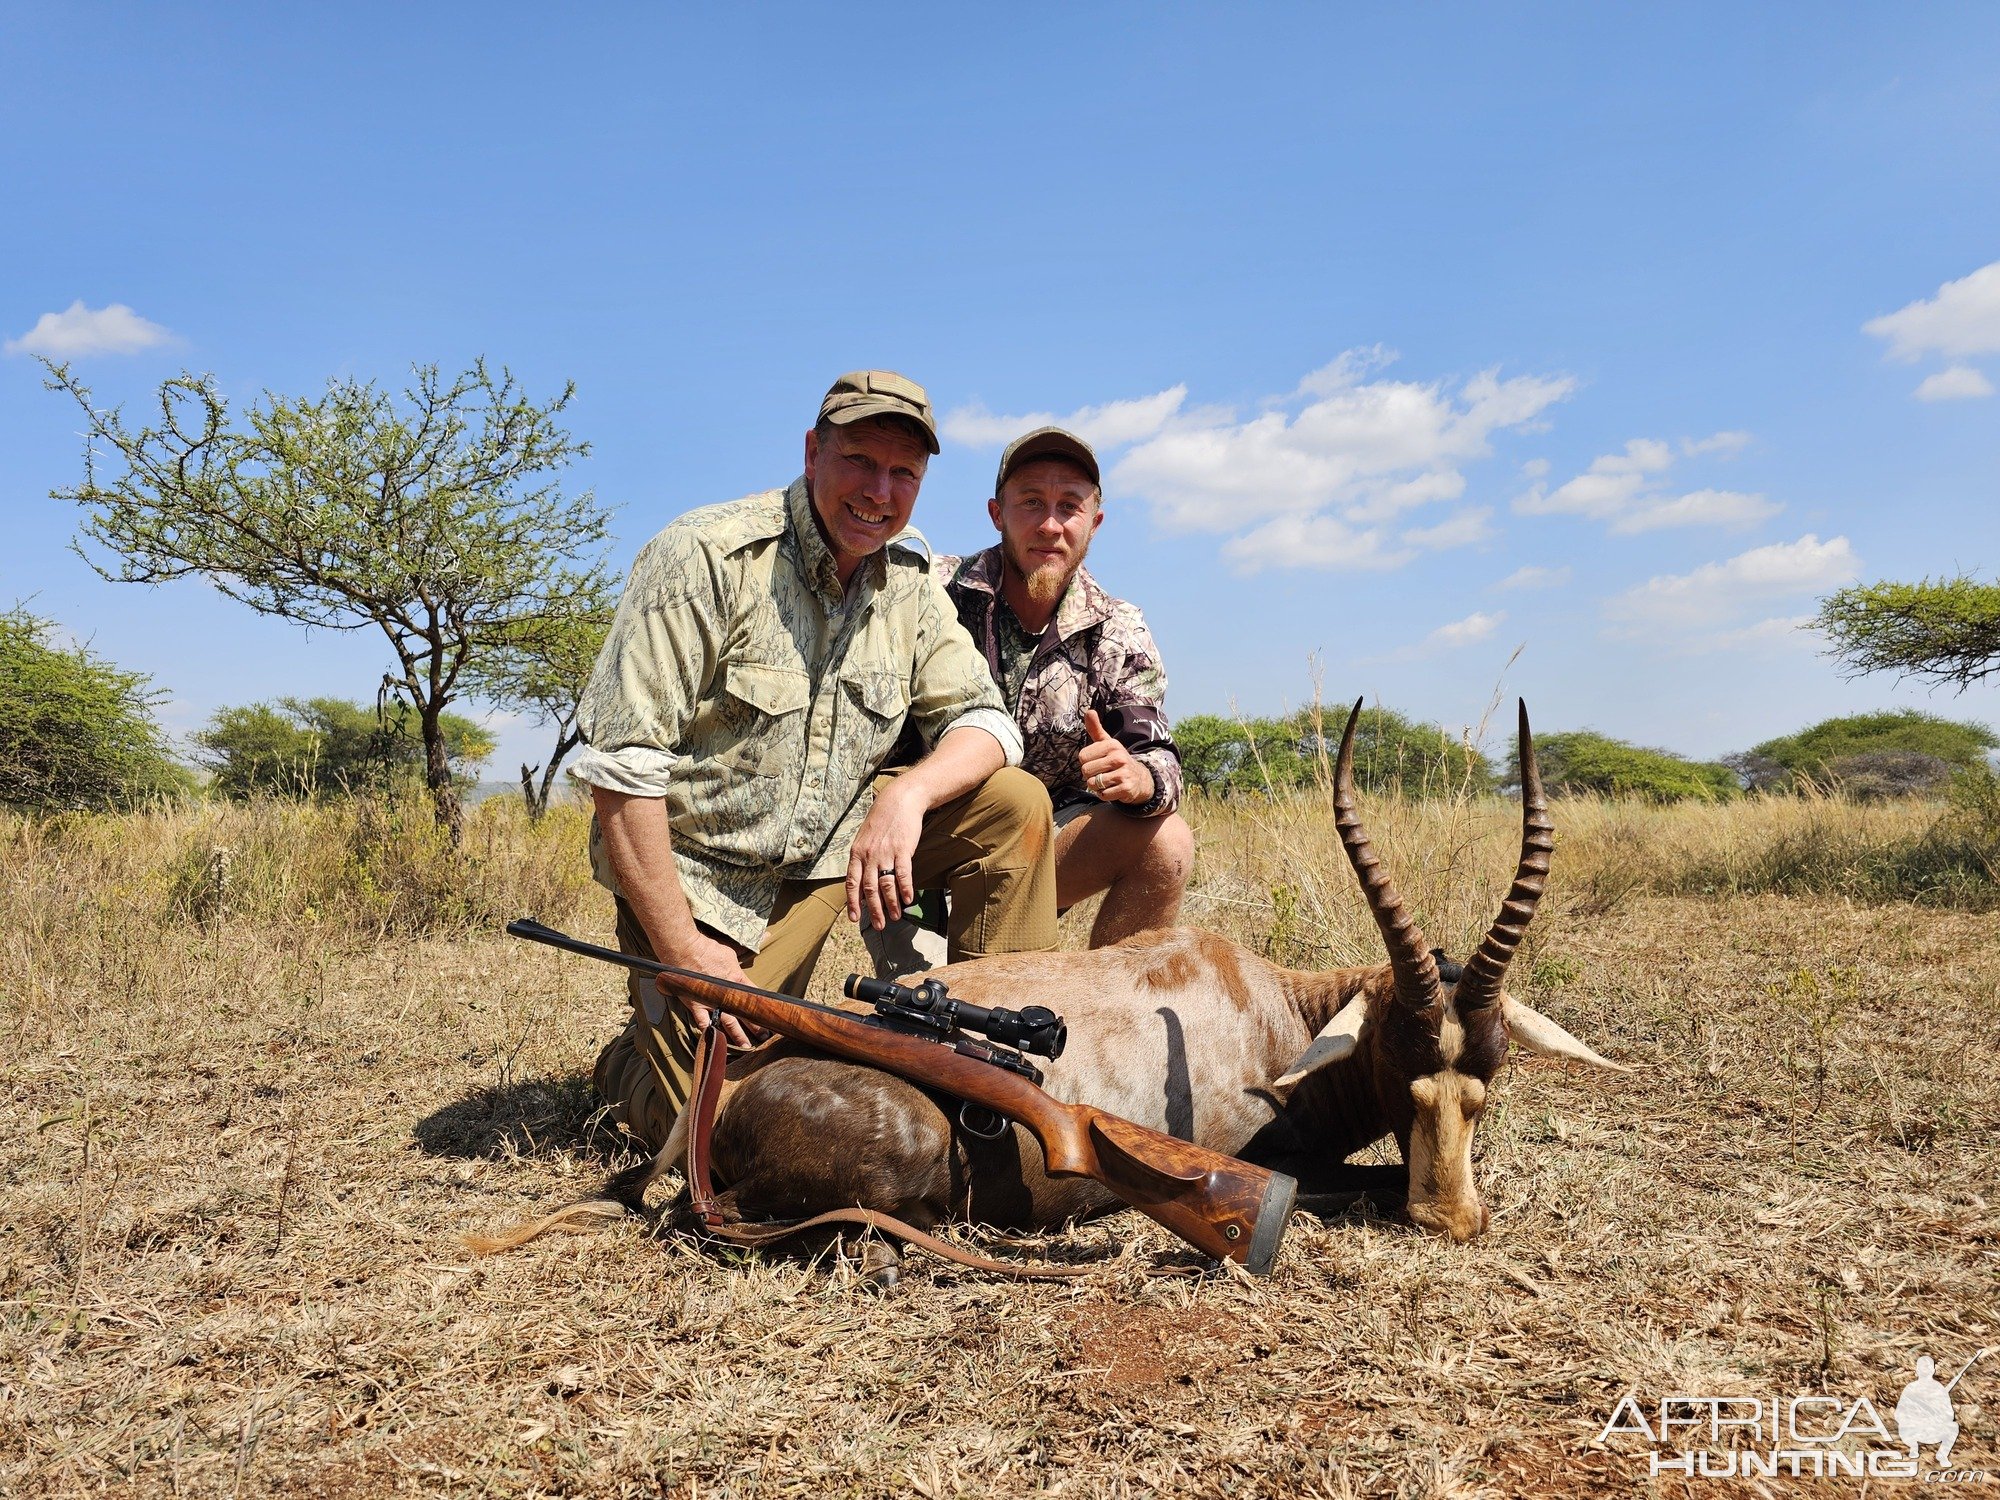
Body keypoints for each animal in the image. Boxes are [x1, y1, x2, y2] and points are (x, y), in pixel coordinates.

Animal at [488, 704, 1624, 1280]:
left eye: (1489, 1074)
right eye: (1398, 1053)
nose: (1452, 1219)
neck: (1271, 1010)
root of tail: (718, 1101)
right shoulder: (1288, 1164)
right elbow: (1362, 1182)